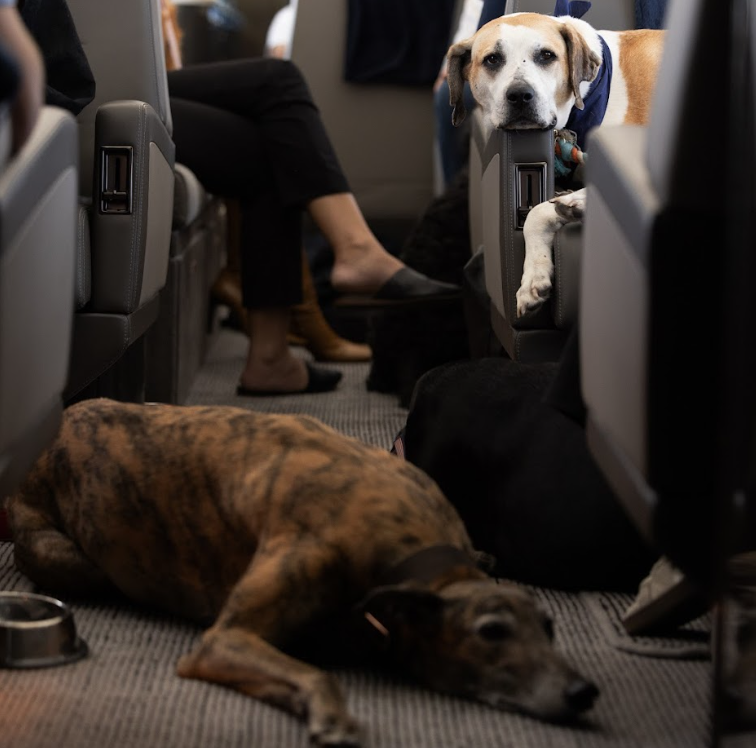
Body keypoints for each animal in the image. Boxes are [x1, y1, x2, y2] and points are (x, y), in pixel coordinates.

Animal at [4, 400, 596, 744]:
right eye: (491, 632)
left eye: (549, 628)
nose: (585, 691)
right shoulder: (224, 638)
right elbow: (315, 671)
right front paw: (331, 714)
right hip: (68, 558)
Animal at [446, 9, 664, 318]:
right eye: (492, 59)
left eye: (547, 56)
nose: (520, 95)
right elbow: (535, 215)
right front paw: (534, 277)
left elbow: (538, 211)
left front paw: (576, 203)